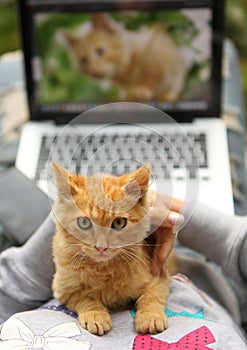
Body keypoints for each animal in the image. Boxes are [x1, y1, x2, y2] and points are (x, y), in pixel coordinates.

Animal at [51, 163, 173, 334]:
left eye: (119, 223)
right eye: (84, 222)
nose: (101, 247)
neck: (103, 269)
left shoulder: (159, 276)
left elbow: (151, 296)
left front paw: (150, 316)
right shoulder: (62, 289)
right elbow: (84, 297)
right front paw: (95, 314)